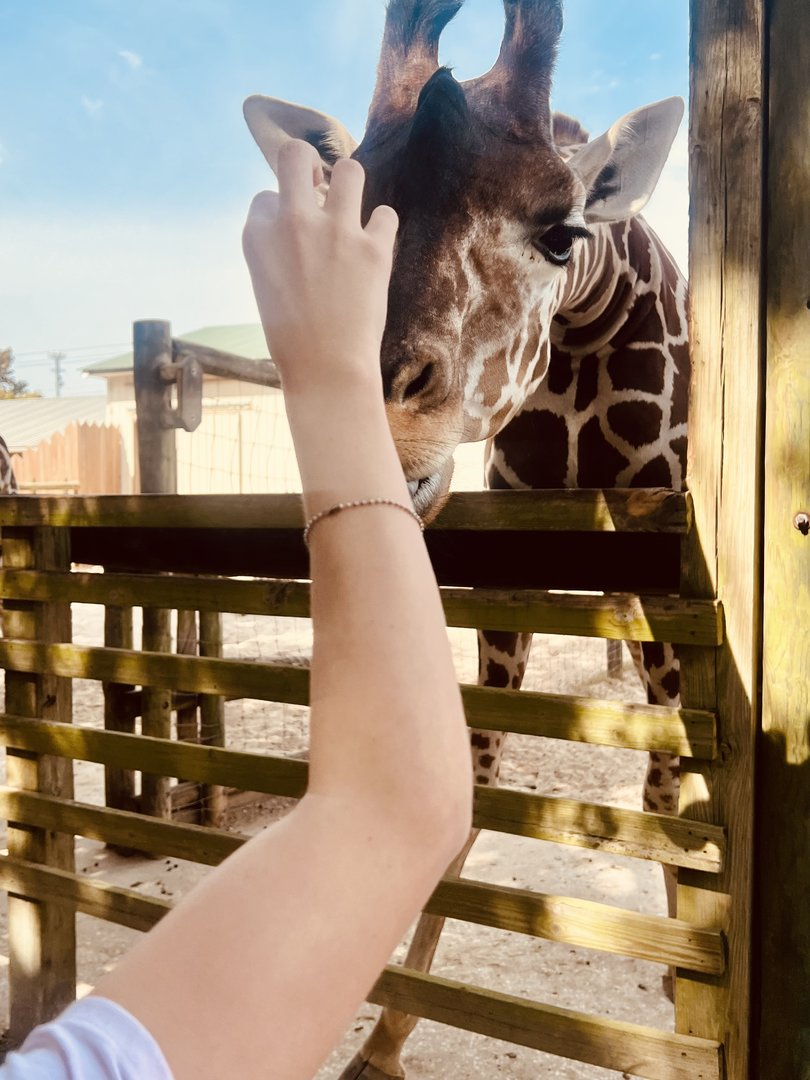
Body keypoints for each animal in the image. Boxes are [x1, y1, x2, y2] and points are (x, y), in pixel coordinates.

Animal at [244, 2, 687, 1076]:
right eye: (349, 216)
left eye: (563, 232)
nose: (383, 435)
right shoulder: (506, 581)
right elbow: (476, 777)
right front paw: (386, 1038)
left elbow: (678, 790)